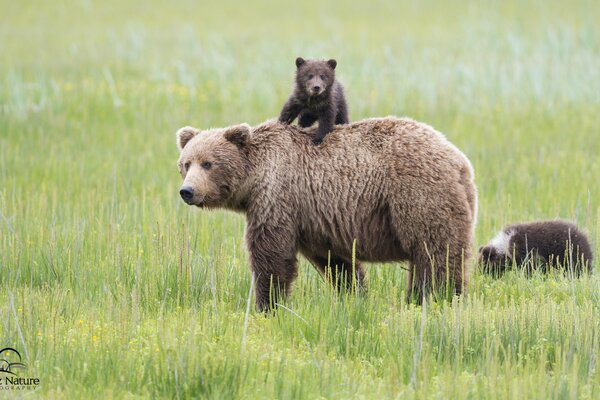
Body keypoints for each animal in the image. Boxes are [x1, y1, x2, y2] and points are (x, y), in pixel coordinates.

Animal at [175, 117, 478, 310]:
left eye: (208, 163)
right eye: (186, 163)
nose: (187, 191)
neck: (254, 178)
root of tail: (460, 161)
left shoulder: (277, 196)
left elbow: (270, 254)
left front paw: (266, 304)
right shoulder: (316, 218)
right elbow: (337, 262)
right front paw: (354, 296)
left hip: (418, 194)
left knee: (434, 252)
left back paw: (437, 298)